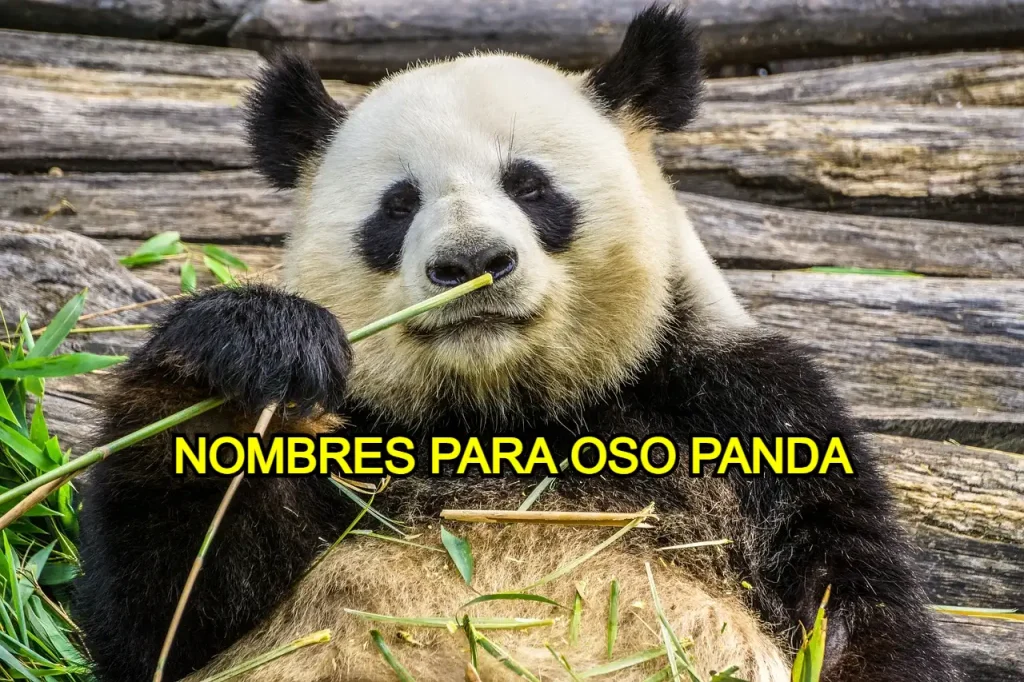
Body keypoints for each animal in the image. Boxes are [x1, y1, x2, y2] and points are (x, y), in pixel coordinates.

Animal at [73, 5, 961, 682]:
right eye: (398, 204)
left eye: (530, 186)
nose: (470, 263)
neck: (504, 413)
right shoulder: (357, 438)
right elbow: (170, 617)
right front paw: (253, 348)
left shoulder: (750, 414)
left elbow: (855, 610)